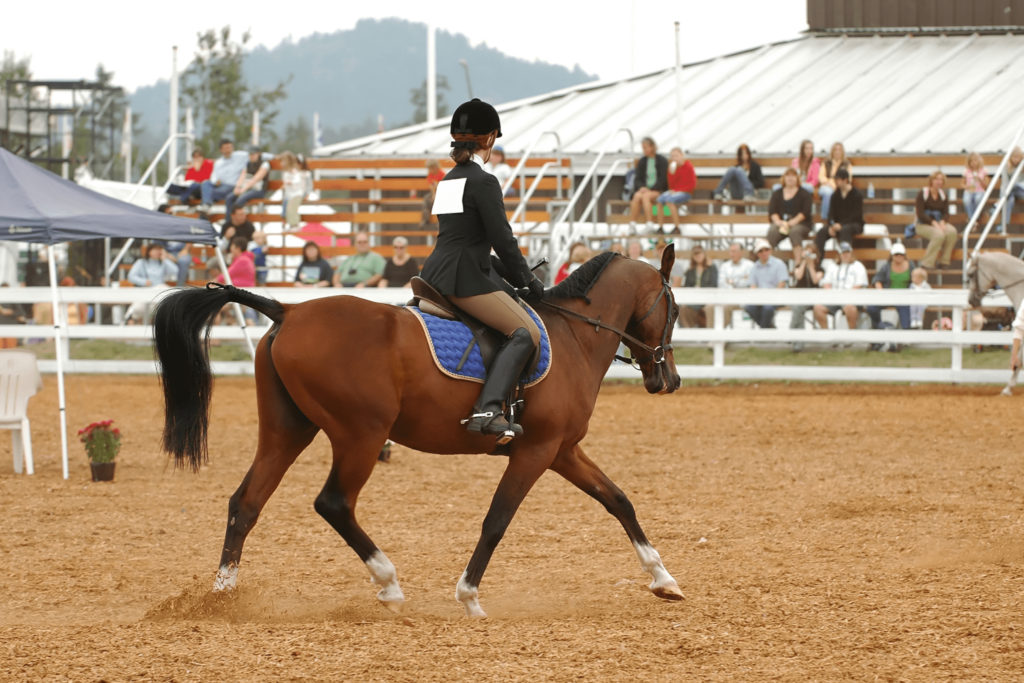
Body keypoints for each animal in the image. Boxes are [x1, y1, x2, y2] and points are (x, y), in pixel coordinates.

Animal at [153, 247, 685, 617]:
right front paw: (469, 596)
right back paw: (388, 583)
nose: (670, 380)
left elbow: (618, 500)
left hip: (288, 432)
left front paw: (663, 578)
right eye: (675, 310)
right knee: (333, 503)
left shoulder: (562, 450)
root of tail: (287, 310)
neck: (574, 335)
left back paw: (222, 596)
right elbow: (497, 521)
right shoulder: (535, 451)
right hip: (361, 435)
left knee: (246, 502)